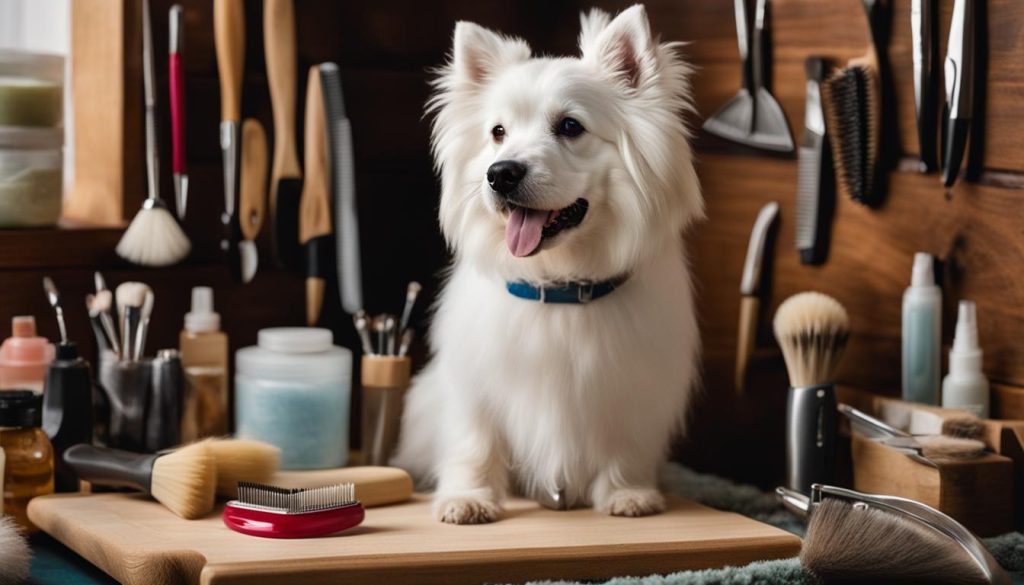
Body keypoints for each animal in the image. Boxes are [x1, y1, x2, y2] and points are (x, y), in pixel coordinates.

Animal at [391, 4, 704, 524]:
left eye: (571, 126)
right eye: (498, 133)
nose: (500, 173)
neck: (558, 286)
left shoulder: (631, 387)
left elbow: (623, 446)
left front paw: (627, 494)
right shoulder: (475, 385)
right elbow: (475, 442)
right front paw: (468, 499)